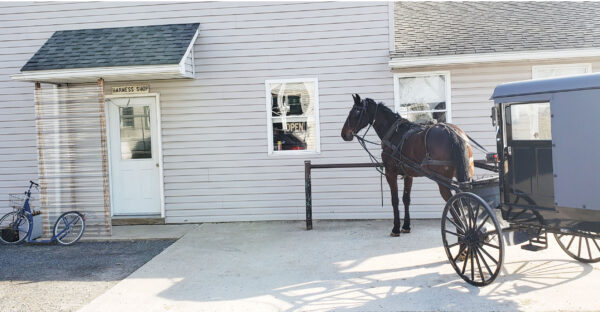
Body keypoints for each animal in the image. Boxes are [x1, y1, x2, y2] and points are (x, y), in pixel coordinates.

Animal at [342, 94, 474, 235]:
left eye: (355, 112)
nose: (344, 134)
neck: (395, 133)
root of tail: (453, 133)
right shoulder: (408, 175)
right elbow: (406, 199)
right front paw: (406, 226)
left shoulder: (390, 172)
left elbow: (395, 200)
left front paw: (396, 228)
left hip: (444, 182)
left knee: (455, 206)